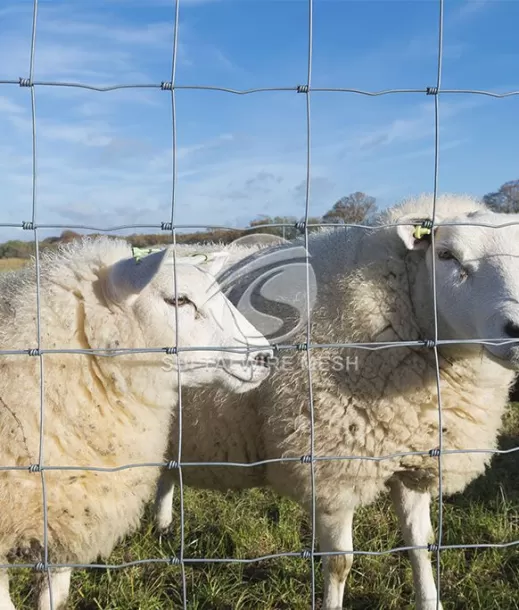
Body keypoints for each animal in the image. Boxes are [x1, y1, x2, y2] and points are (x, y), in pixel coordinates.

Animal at [153, 194, 519, 608]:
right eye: (446, 255)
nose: (517, 330)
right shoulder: (332, 469)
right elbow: (340, 562)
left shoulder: (415, 459)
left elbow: (421, 546)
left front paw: (430, 601)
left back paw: (163, 524)